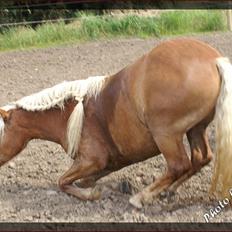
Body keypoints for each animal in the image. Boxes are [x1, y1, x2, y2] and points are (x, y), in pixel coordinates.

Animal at [0, 38, 232, 208]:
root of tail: (214, 60)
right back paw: (168, 191)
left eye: (1, 130)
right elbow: (85, 180)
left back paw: (141, 198)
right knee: (201, 158)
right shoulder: (105, 163)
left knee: (179, 165)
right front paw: (110, 187)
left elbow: (63, 181)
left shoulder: (92, 160)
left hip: (166, 134)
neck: (69, 113)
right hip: (196, 129)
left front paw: (93, 194)